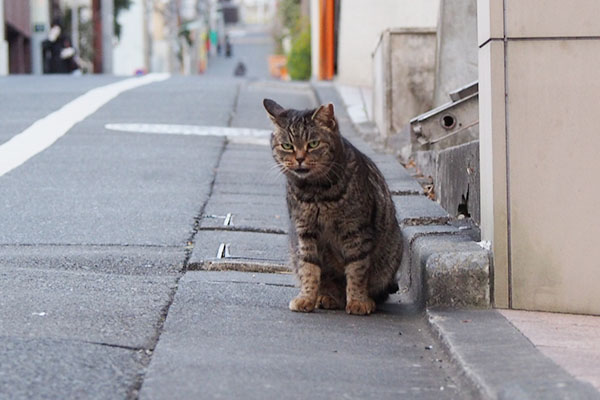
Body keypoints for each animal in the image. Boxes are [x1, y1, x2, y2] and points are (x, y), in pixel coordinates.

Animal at [264, 97, 400, 316]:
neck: (316, 192)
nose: (299, 158)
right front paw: (306, 298)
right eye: (287, 146)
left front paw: (358, 301)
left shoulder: (356, 231)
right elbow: (309, 268)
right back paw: (327, 297)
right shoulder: (305, 232)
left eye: (313, 144)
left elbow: (357, 270)